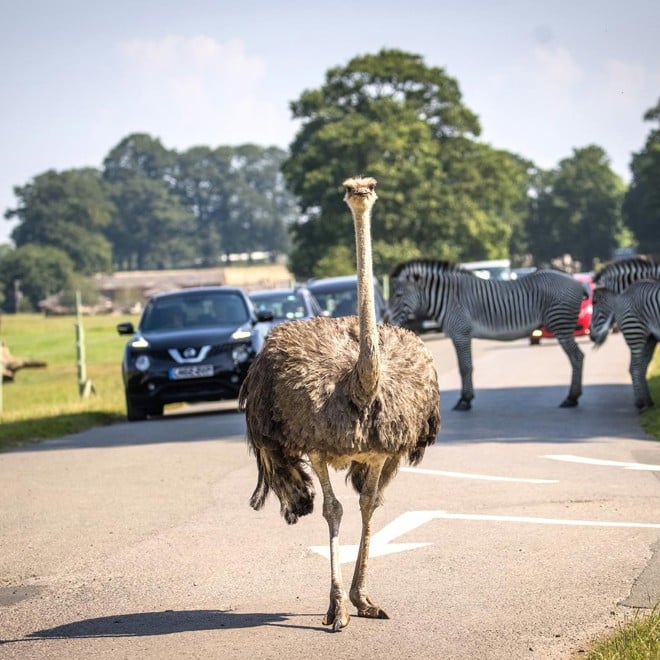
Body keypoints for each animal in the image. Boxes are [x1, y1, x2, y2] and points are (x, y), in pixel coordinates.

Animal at [386, 260, 588, 410]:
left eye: (397, 295)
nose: (387, 320)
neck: (448, 298)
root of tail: (576, 282)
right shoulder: (460, 335)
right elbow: (465, 367)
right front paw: (466, 398)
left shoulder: (461, 333)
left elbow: (465, 367)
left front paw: (464, 400)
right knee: (577, 356)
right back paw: (573, 397)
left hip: (560, 322)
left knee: (577, 356)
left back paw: (571, 398)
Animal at [592, 278, 656, 412]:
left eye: (594, 302)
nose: (591, 336)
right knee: (636, 367)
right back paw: (642, 402)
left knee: (637, 367)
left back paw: (644, 402)